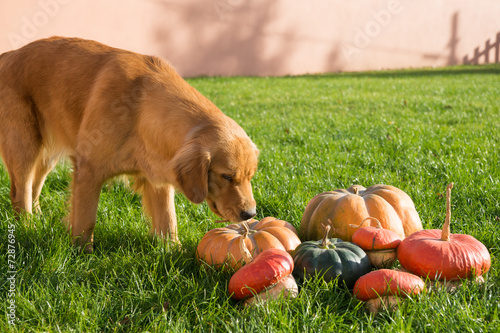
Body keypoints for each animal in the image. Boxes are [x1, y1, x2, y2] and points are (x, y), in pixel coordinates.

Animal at [0, 36, 258, 252]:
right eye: (226, 176)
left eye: (250, 176)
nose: (250, 213)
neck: (140, 108)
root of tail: (9, 54)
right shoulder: (88, 170)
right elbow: (86, 219)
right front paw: (82, 253)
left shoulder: (158, 176)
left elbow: (168, 220)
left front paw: (173, 251)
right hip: (24, 145)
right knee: (19, 192)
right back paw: (28, 227)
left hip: (46, 154)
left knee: (33, 188)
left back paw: (38, 219)